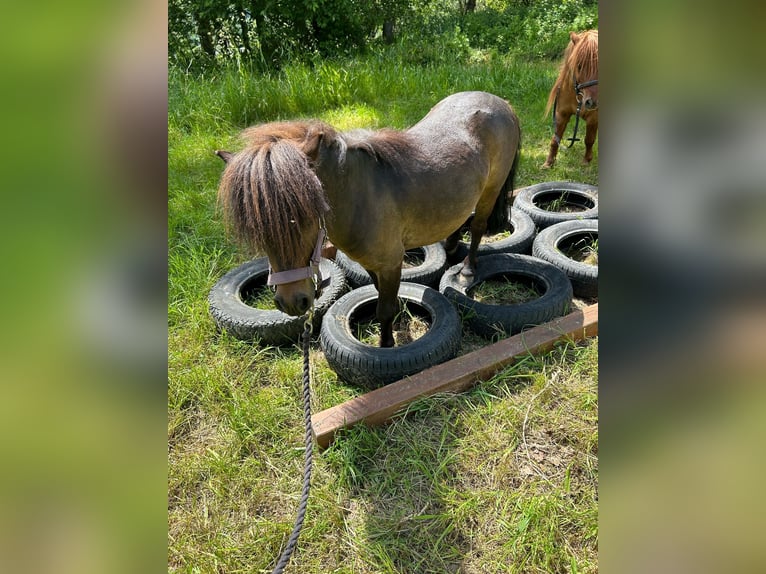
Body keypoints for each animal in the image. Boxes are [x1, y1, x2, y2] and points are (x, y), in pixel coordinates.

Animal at [219, 92, 524, 348]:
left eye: (305, 216)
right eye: (257, 229)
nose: (292, 302)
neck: (359, 196)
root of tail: (500, 102)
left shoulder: (390, 262)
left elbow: (384, 309)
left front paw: (386, 345)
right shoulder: (371, 264)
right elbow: (381, 295)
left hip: (491, 190)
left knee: (478, 226)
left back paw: (468, 269)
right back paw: (450, 247)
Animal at [544, 29, 600, 169]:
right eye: (579, 66)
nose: (592, 102)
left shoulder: (593, 118)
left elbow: (589, 139)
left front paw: (586, 161)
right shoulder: (561, 114)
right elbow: (555, 139)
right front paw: (548, 163)